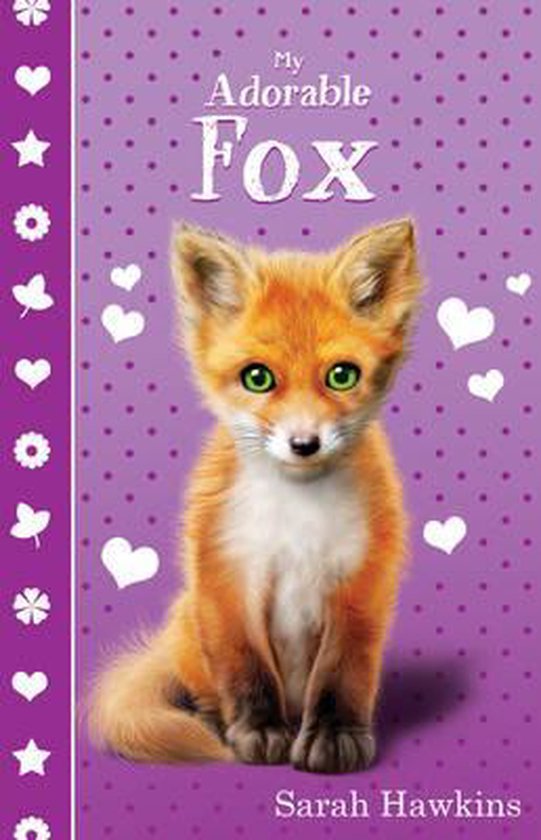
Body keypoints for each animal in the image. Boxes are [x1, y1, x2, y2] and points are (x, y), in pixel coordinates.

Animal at [88, 218, 422, 774]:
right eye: (258, 377)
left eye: (342, 375)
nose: (304, 444)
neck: (299, 518)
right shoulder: (228, 576)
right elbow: (247, 669)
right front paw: (260, 731)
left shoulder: (361, 580)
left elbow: (342, 671)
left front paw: (334, 736)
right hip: (191, 624)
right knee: (203, 688)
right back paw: (213, 720)